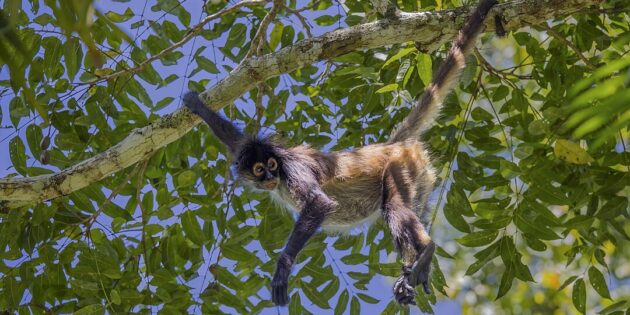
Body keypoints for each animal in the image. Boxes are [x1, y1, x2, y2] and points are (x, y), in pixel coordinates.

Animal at [183, 0, 498, 306]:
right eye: (260, 169)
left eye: (271, 165)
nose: (270, 176)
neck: (281, 170)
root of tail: (390, 145)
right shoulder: (252, 148)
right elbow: (234, 138)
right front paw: (196, 105)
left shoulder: (292, 166)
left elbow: (319, 203)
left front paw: (283, 267)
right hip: (420, 177)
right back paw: (412, 273)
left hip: (401, 165)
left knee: (394, 207)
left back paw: (428, 250)